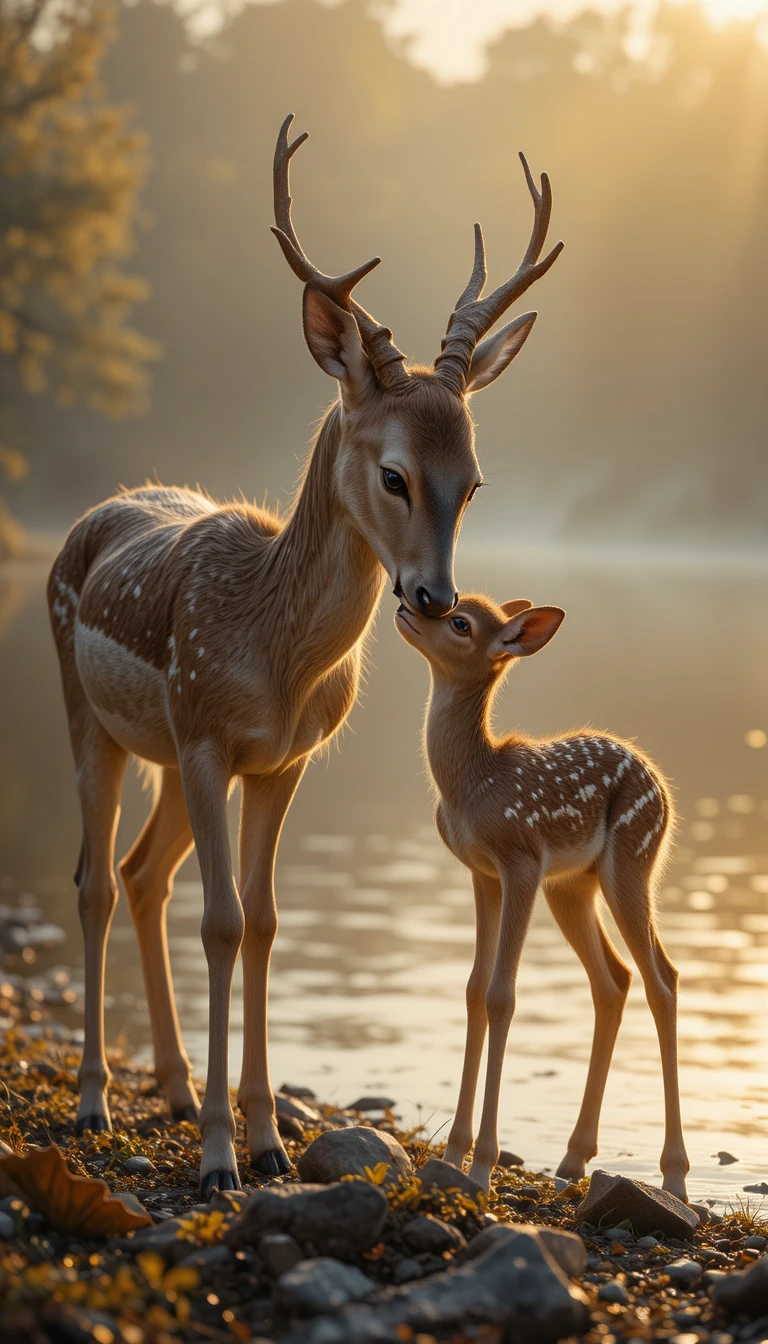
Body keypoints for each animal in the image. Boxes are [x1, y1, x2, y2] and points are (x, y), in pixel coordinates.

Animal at [47, 116, 563, 1197]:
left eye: (474, 480)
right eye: (394, 473)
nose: (434, 596)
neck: (271, 653)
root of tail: (100, 512)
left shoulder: (279, 761)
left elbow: (267, 921)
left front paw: (265, 1139)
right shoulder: (209, 736)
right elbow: (221, 921)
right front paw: (217, 1159)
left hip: (164, 751)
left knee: (143, 873)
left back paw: (167, 1083)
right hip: (90, 707)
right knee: (96, 879)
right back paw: (95, 1101)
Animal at [395, 594, 690, 1200]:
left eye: (460, 622)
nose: (407, 605)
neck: (471, 788)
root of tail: (666, 791)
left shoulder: (521, 861)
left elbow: (502, 996)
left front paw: (482, 1166)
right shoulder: (481, 873)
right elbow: (473, 990)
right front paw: (454, 1155)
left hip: (631, 861)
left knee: (662, 979)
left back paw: (674, 1175)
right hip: (573, 886)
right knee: (615, 980)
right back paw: (574, 1158)